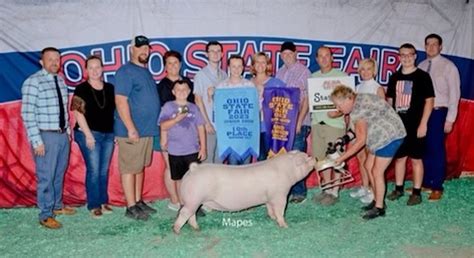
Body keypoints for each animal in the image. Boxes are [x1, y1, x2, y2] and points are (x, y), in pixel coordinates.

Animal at [173, 151, 314, 234]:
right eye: (306, 157)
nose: (315, 157)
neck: (286, 170)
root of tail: (193, 169)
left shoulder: (269, 197)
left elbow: (270, 208)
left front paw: (272, 218)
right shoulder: (280, 195)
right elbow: (280, 210)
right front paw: (285, 226)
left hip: (193, 201)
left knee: (191, 214)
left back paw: (197, 229)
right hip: (193, 199)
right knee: (184, 213)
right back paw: (177, 230)